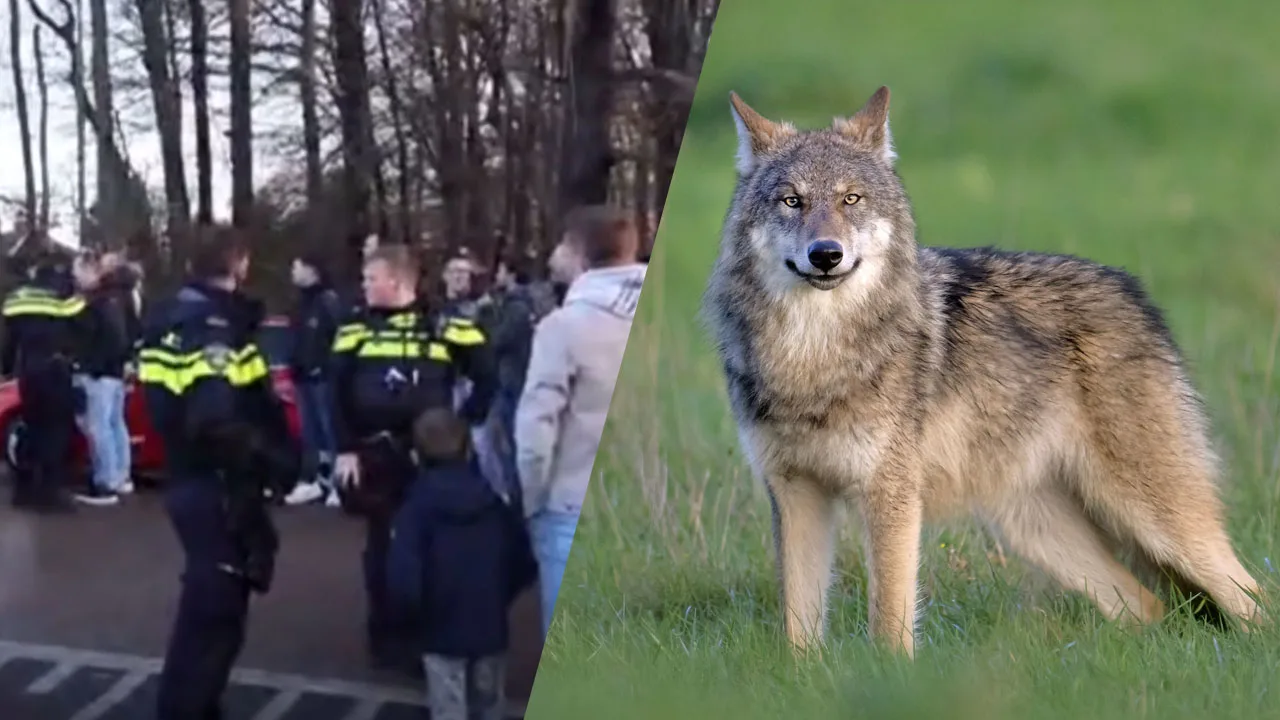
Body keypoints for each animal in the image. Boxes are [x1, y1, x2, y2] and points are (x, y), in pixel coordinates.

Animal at [701, 85, 1265, 658]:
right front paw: (806, 674)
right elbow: (799, 632)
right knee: (1147, 607)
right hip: (1035, 529)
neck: (812, 357)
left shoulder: (891, 496)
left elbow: (890, 623)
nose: (826, 254)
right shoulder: (796, 495)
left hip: (1158, 520)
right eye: (791, 201)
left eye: (851, 200)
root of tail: (1135, 294)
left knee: (1254, 599)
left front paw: (888, 672)